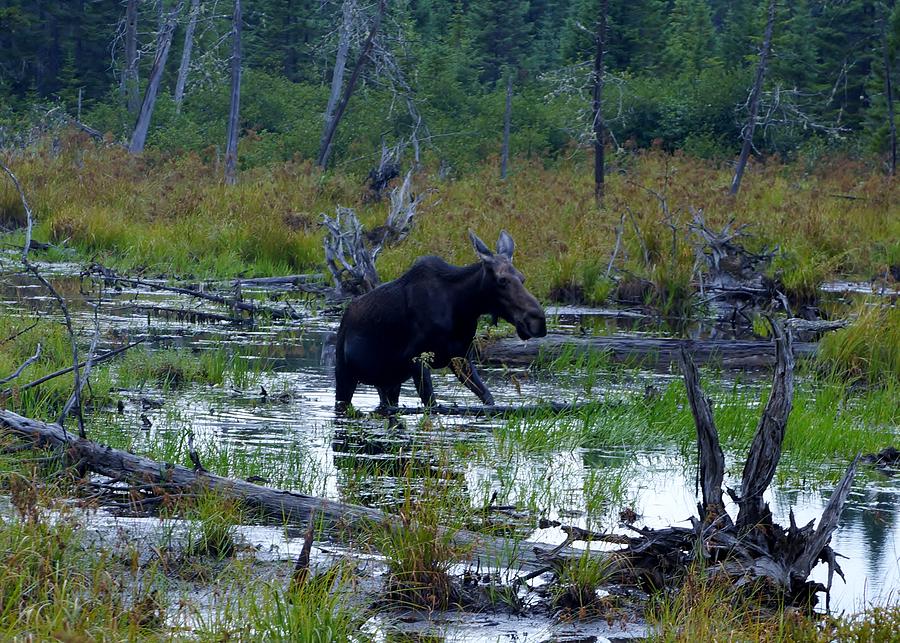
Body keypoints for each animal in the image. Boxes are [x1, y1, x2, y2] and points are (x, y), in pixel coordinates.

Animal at [336, 231, 548, 412]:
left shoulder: (462, 358)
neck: (464, 308)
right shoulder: (417, 359)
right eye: (502, 280)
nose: (538, 320)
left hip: (389, 381)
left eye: (522, 278)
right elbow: (432, 405)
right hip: (345, 373)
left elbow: (488, 398)